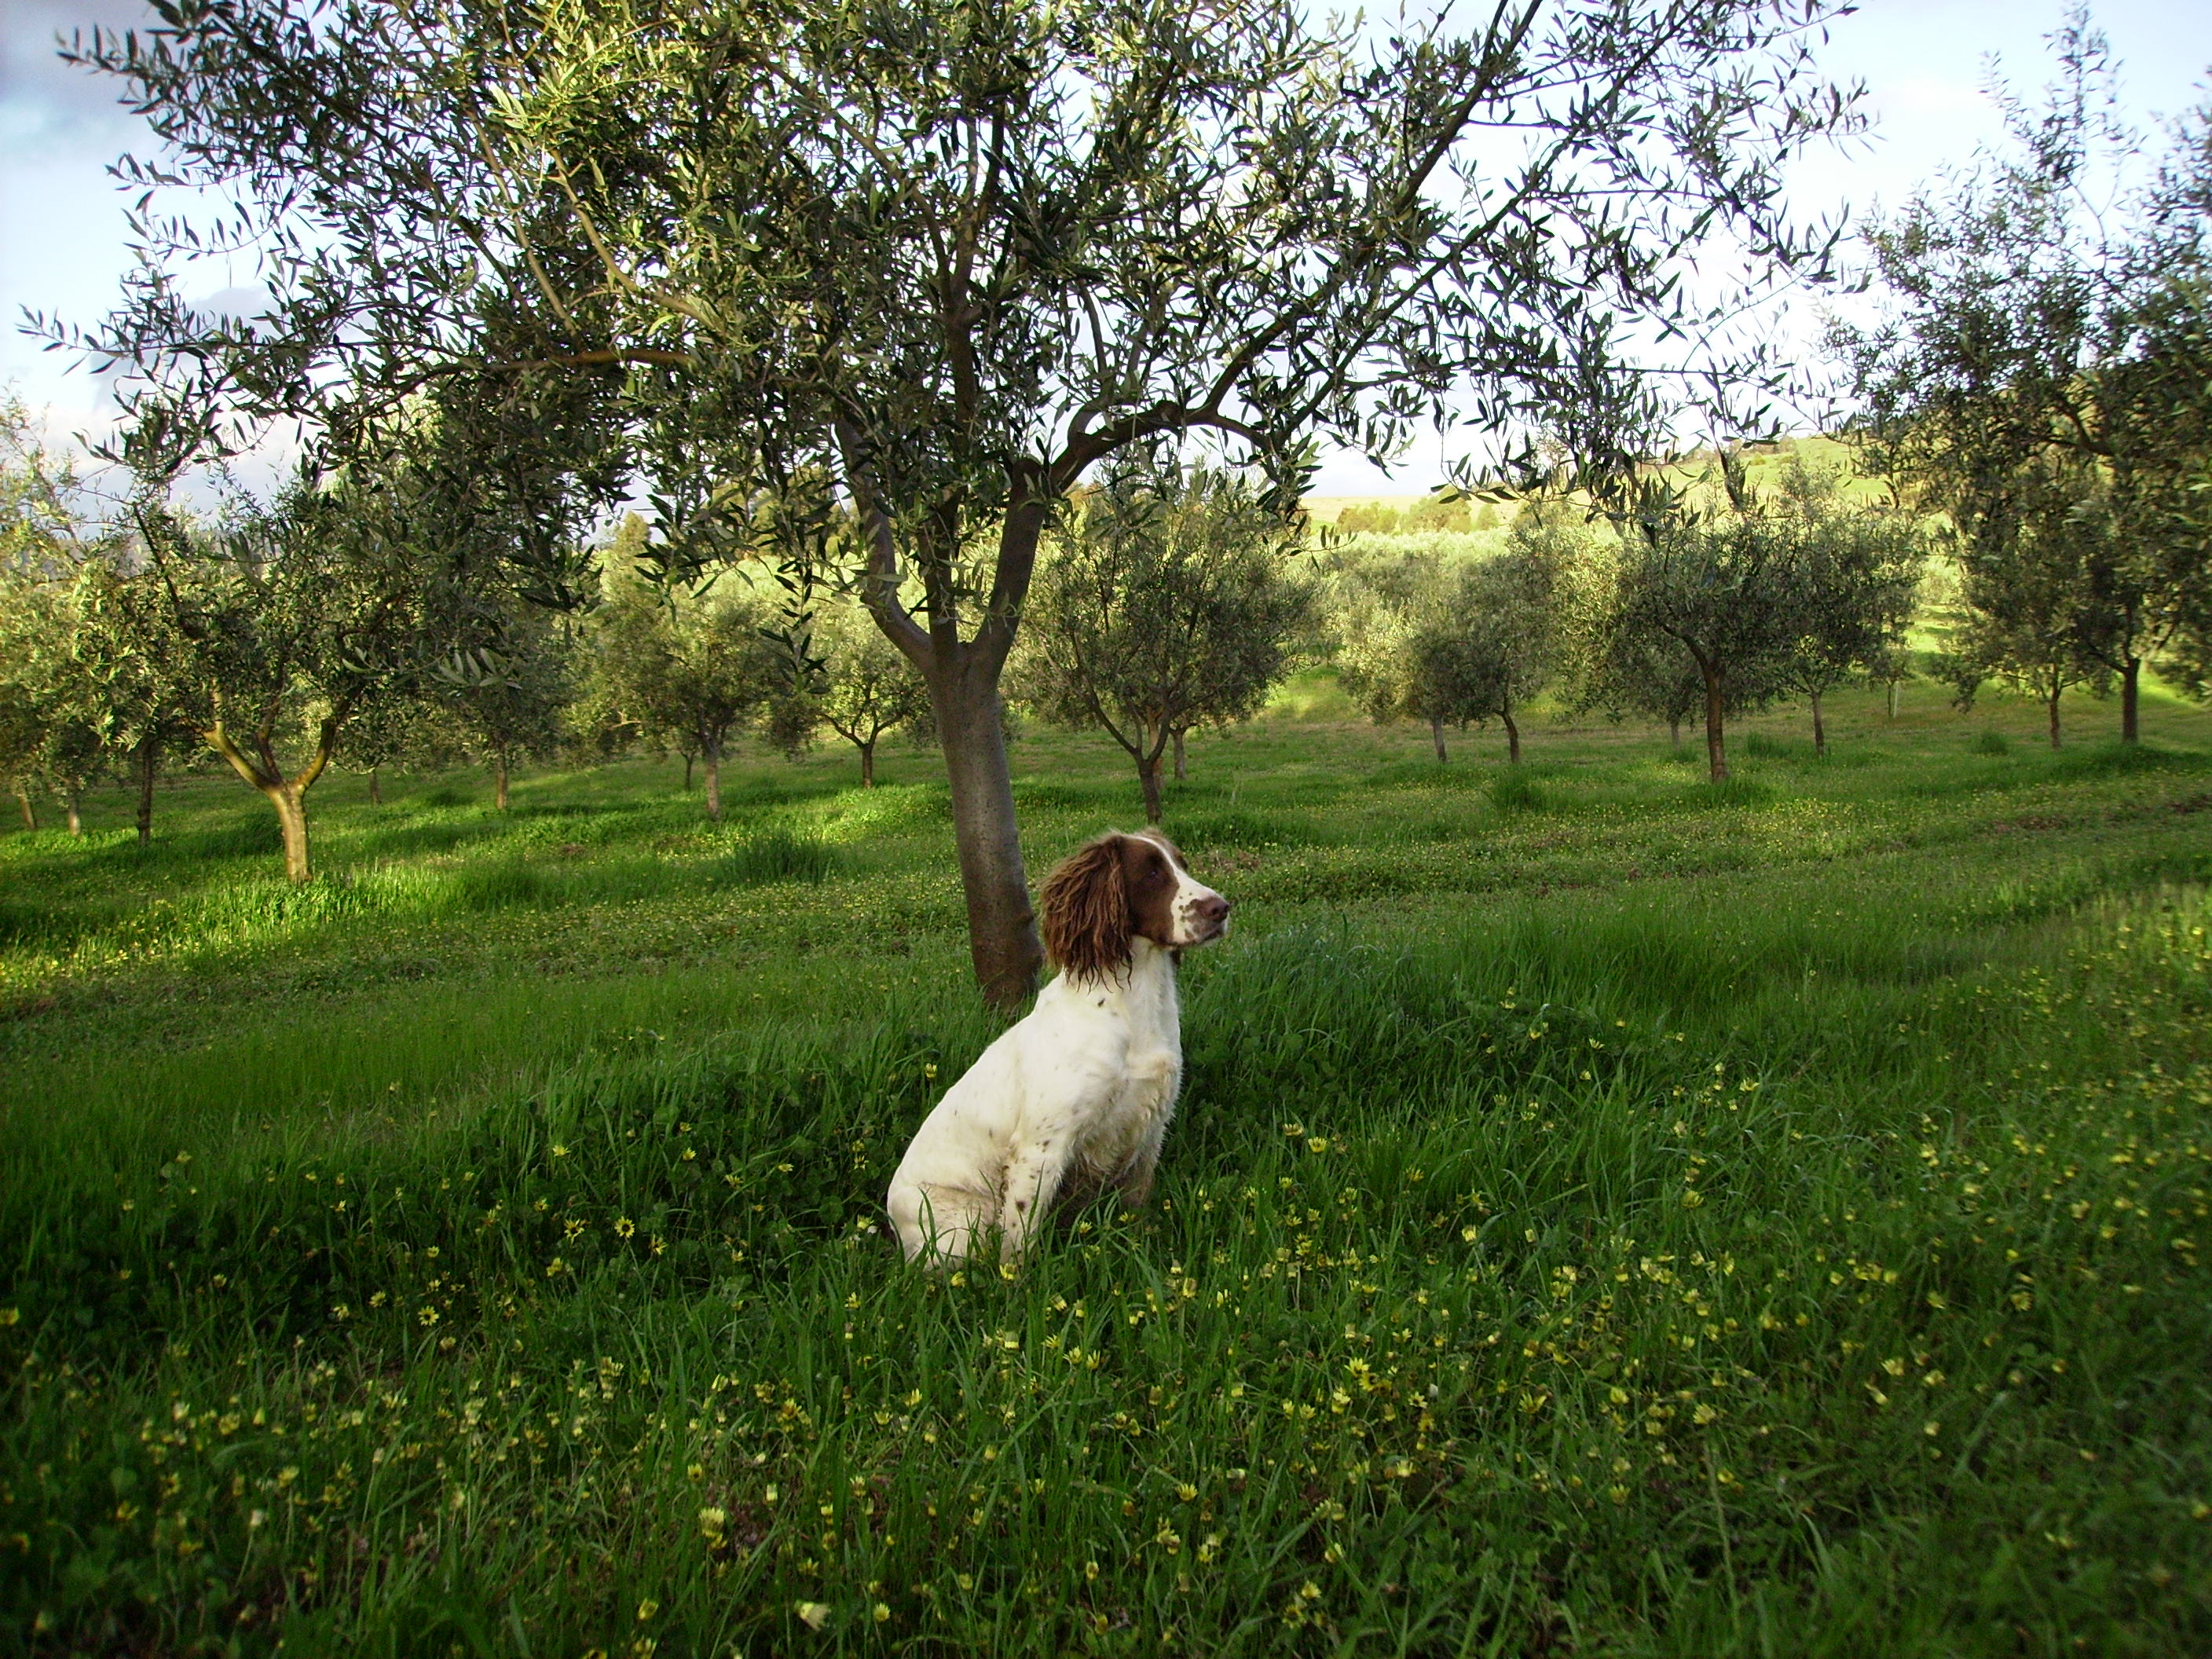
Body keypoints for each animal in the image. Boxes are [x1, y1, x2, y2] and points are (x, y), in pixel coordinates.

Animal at [880, 831, 1229, 1274]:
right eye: (1151, 873)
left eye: (1182, 864)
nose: (1221, 908)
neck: (1133, 1008)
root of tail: (891, 1219)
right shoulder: (1041, 1148)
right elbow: (1019, 1237)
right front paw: (1021, 1284)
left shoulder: (1151, 1127)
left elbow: (1137, 1200)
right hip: (962, 1227)